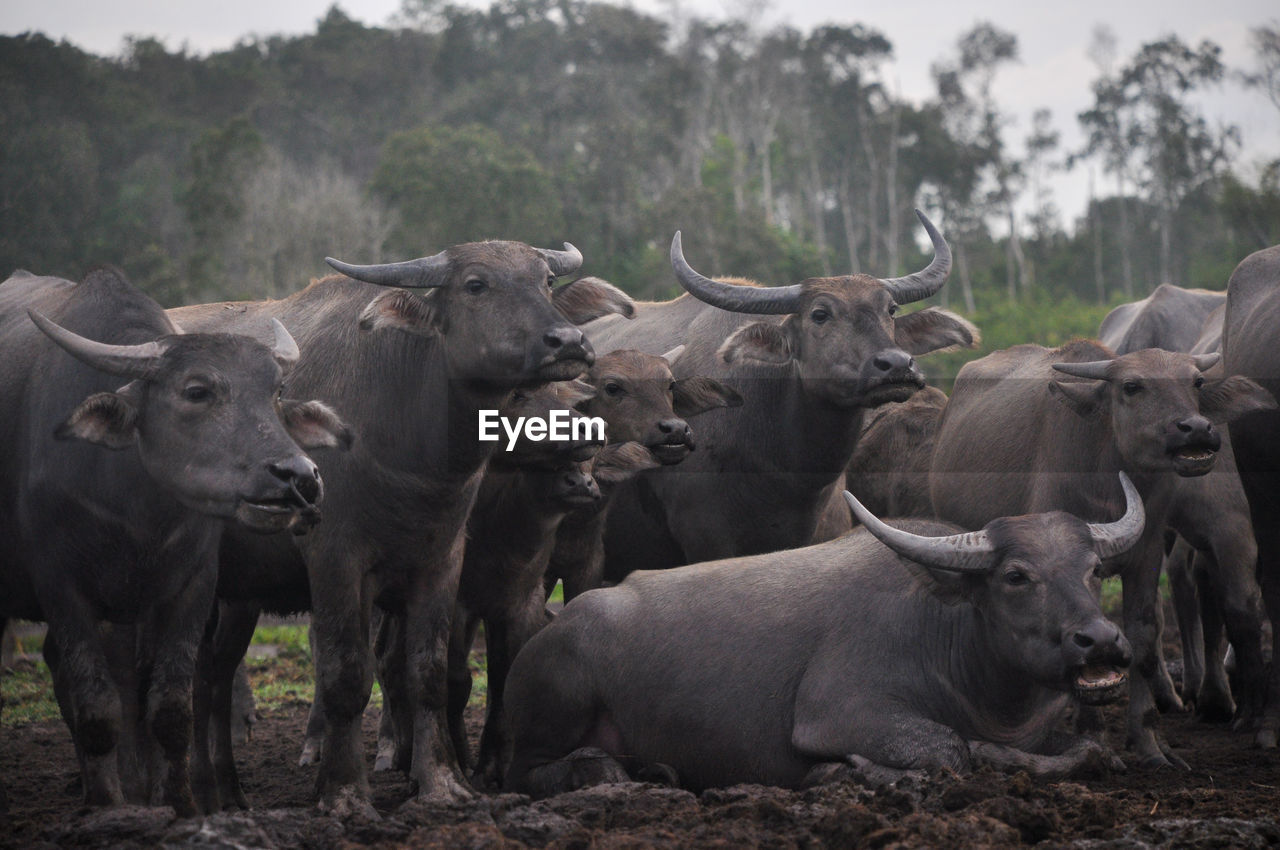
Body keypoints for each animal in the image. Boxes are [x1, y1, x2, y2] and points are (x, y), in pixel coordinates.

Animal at [0, 268, 345, 814]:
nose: (300, 478)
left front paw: (182, 807)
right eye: (197, 391)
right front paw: (110, 807)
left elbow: (171, 708)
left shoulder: (192, 589)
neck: (133, 507)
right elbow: (98, 706)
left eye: (276, 391)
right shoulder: (63, 590)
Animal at [168, 240, 629, 809]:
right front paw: (344, 790)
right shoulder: (334, 558)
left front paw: (443, 781)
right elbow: (346, 674)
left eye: (544, 279)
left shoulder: (441, 561)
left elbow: (428, 672)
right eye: (475, 285)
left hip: (239, 596)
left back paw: (226, 791)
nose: (568, 341)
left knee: (213, 675)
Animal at [499, 471, 1141, 798]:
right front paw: (845, 771)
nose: (1101, 640)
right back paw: (603, 772)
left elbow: (1092, 749)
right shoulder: (837, 713)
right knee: (514, 771)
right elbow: (950, 749)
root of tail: (560, 622)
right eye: (1015, 576)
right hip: (557, 698)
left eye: (1093, 569)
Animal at [926, 340, 1274, 768]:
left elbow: (1143, 635)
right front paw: (1093, 736)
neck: (1106, 479)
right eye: (1131, 386)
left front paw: (1150, 743)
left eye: (1196, 381)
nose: (1196, 428)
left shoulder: (1147, 553)